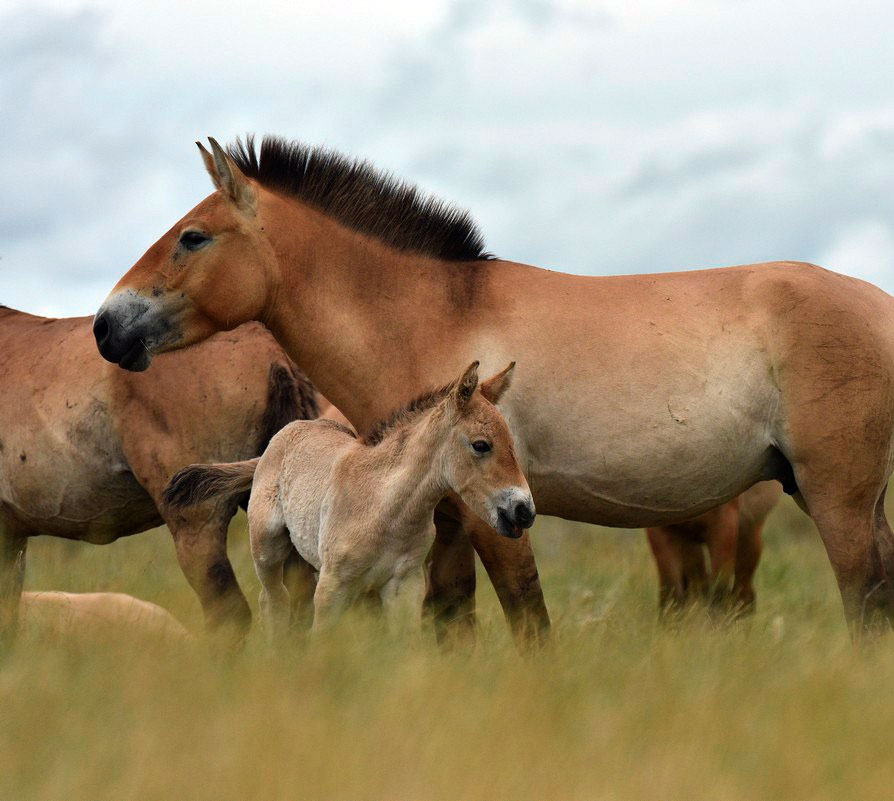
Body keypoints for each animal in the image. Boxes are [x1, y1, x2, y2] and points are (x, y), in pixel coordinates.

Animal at [164, 362, 536, 636]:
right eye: (481, 445)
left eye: (512, 442)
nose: (524, 510)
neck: (385, 508)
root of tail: (283, 436)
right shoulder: (332, 587)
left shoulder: (404, 587)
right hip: (267, 550)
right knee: (272, 603)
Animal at [644, 482, 784, 612]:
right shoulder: (661, 532)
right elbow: (671, 594)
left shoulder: (724, 525)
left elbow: (719, 590)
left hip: (749, 535)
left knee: (742, 594)